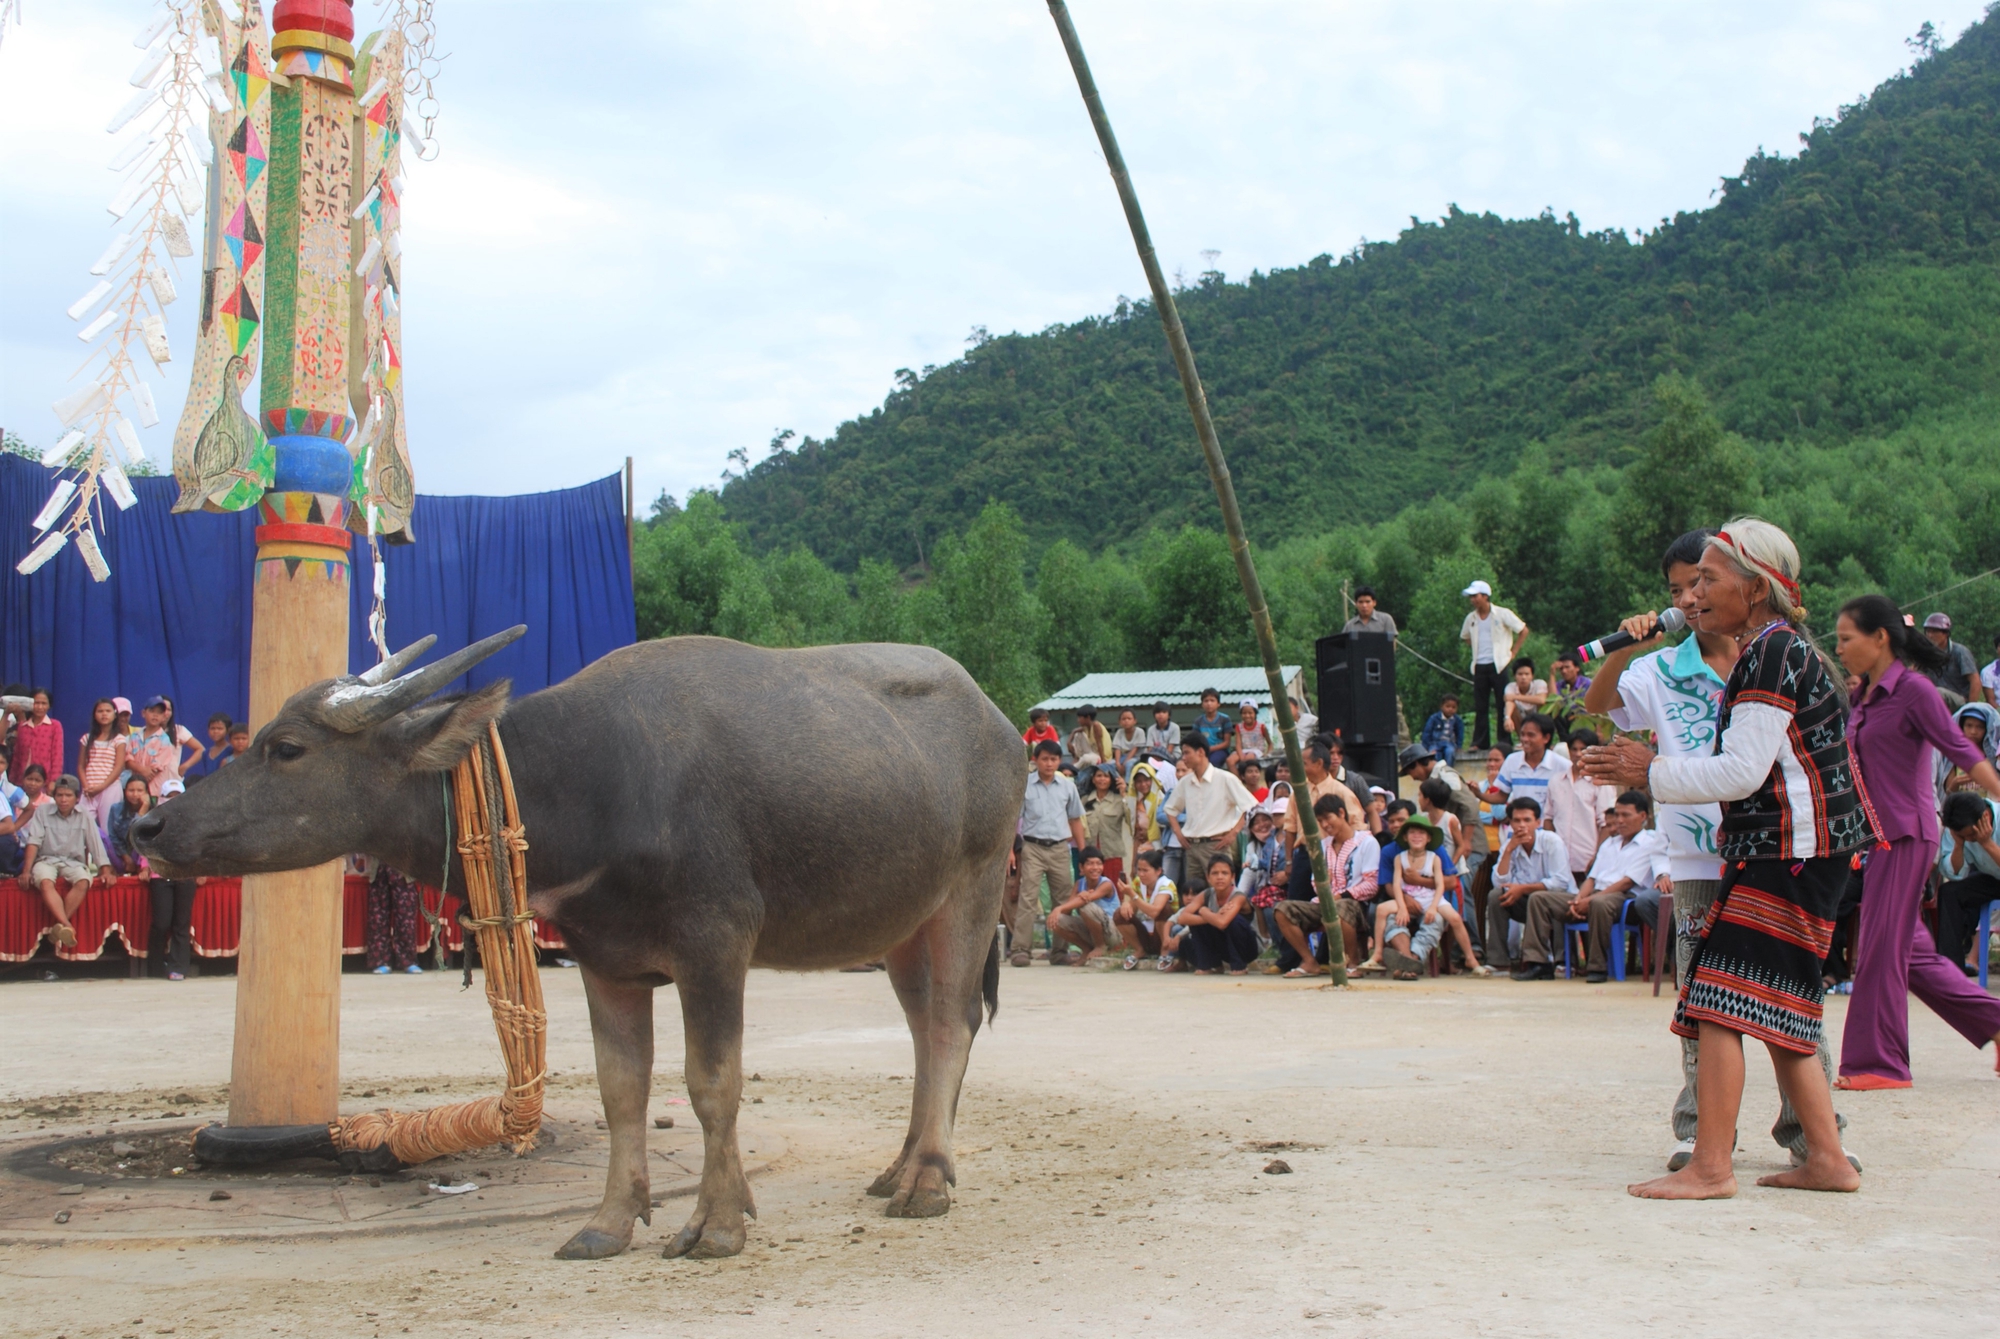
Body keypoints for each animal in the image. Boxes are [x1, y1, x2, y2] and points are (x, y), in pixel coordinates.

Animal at [133, 631, 1024, 1263]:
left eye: (286, 747)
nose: (148, 824)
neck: (594, 779)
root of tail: (999, 723)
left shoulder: (715, 944)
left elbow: (712, 1085)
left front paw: (717, 1223)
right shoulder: (607, 960)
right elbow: (622, 1089)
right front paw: (609, 1221)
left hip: (975, 886)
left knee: (951, 1025)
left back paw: (929, 1181)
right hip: (904, 921)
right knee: (924, 1030)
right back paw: (901, 1166)